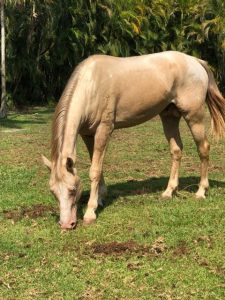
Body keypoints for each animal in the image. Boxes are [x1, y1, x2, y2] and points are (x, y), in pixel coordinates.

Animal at [41, 51, 225, 230]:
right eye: (53, 192)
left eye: (72, 190)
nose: (66, 225)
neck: (91, 85)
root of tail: (195, 61)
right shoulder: (88, 134)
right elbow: (98, 167)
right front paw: (100, 198)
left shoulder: (104, 129)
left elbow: (94, 170)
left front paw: (90, 212)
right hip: (169, 116)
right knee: (176, 150)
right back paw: (168, 192)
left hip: (194, 116)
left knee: (203, 148)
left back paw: (201, 192)